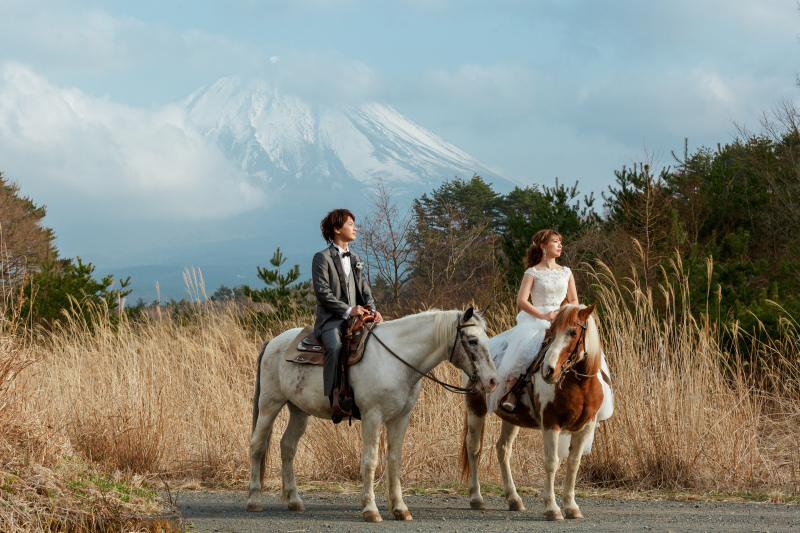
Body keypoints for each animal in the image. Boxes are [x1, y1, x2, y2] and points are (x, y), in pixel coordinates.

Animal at [247, 307, 499, 522]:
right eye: (473, 340)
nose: (492, 381)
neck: (396, 360)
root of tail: (272, 343)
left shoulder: (400, 418)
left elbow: (394, 461)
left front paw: (399, 508)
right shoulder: (372, 417)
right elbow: (370, 461)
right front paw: (370, 509)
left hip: (299, 411)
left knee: (287, 447)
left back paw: (294, 500)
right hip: (270, 403)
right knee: (258, 445)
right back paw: (254, 499)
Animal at [460, 303, 613, 521]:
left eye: (573, 332)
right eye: (551, 333)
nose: (548, 370)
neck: (579, 385)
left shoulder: (586, 426)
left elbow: (573, 463)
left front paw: (571, 507)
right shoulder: (551, 423)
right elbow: (551, 462)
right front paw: (552, 508)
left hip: (511, 418)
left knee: (503, 449)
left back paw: (514, 499)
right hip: (475, 410)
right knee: (473, 448)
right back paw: (476, 498)